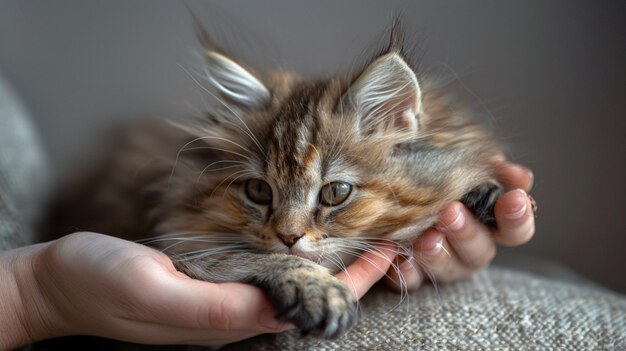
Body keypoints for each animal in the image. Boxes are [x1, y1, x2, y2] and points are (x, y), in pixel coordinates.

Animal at [51, 22, 504, 340]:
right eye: (258, 191)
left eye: (336, 193)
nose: (288, 236)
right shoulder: (181, 246)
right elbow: (259, 258)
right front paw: (316, 291)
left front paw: (484, 192)